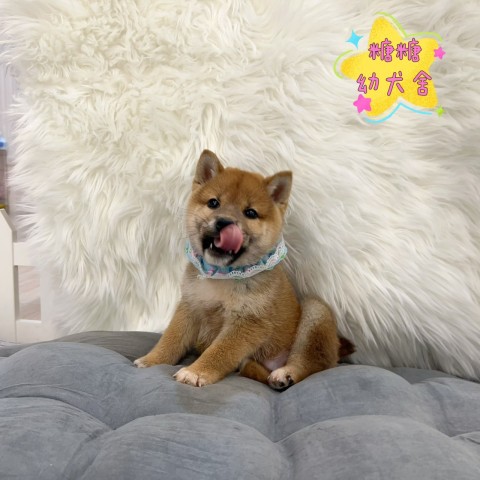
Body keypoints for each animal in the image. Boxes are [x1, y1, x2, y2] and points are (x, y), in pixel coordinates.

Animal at [135, 150, 354, 389]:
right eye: (213, 202)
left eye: (250, 213)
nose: (224, 223)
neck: (221, 278)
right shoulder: (190, 307)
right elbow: (171, 339)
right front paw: (152, 359)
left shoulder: (247, 322)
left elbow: (219, 352)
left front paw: (196, 372)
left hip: (315, 313)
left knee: (312, 363)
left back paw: (286, 374)